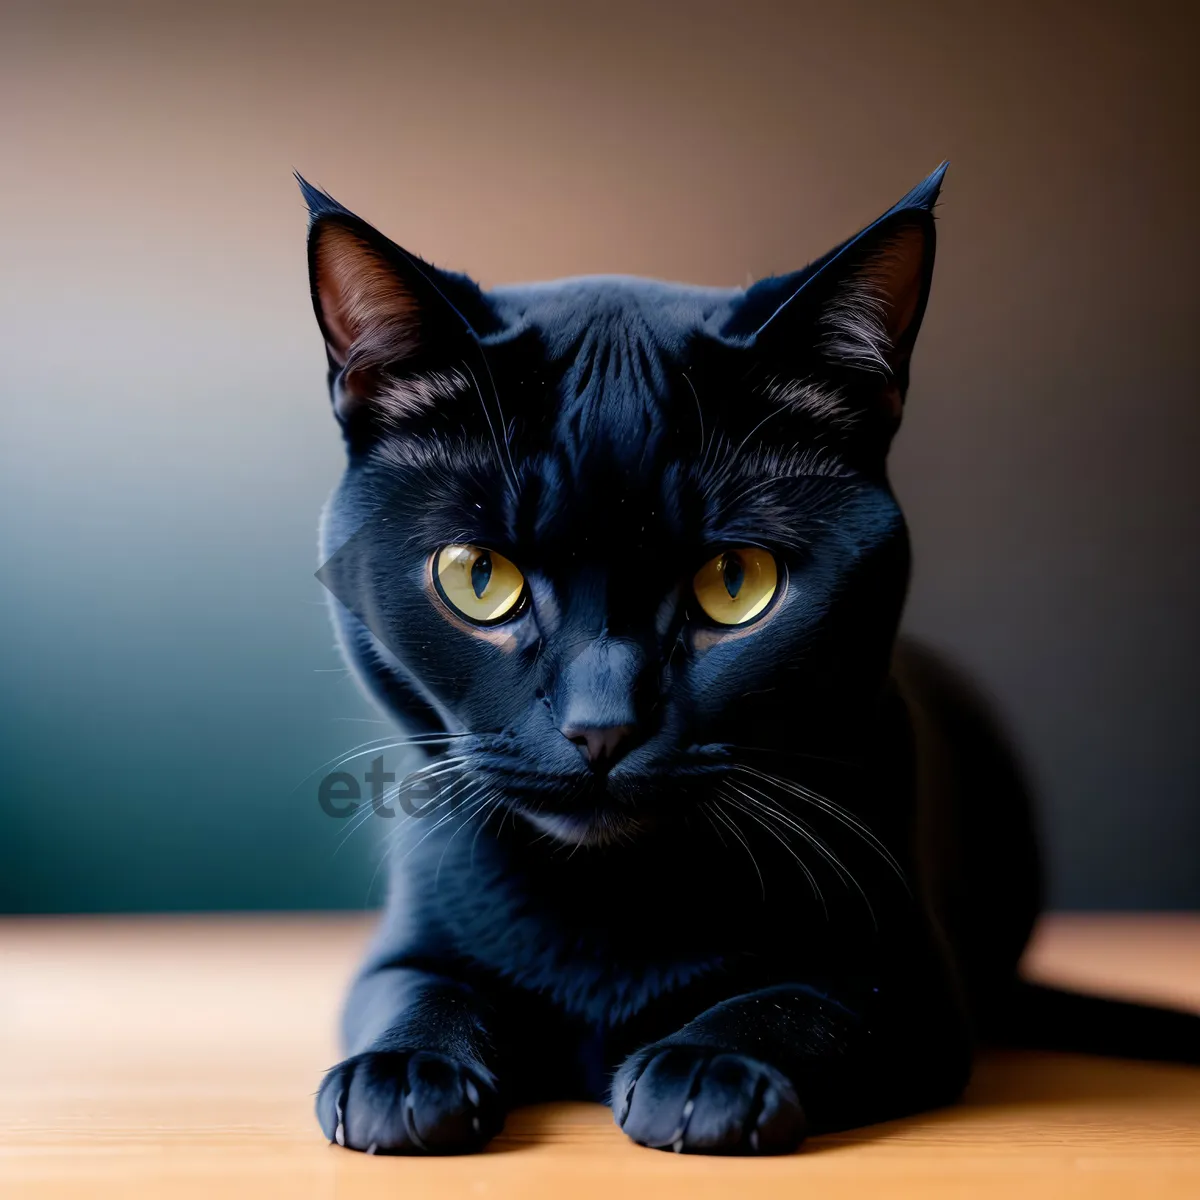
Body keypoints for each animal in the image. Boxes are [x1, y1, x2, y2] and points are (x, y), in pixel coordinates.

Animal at [300, 166, 1200, 1152]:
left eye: (736, 583)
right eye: (478, 578)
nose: (600, 727)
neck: (613, 908)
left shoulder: (915, 990)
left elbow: (805, 1003)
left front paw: (705, 1071)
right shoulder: (402, 948)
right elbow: (417, 990)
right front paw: (404, 1072)